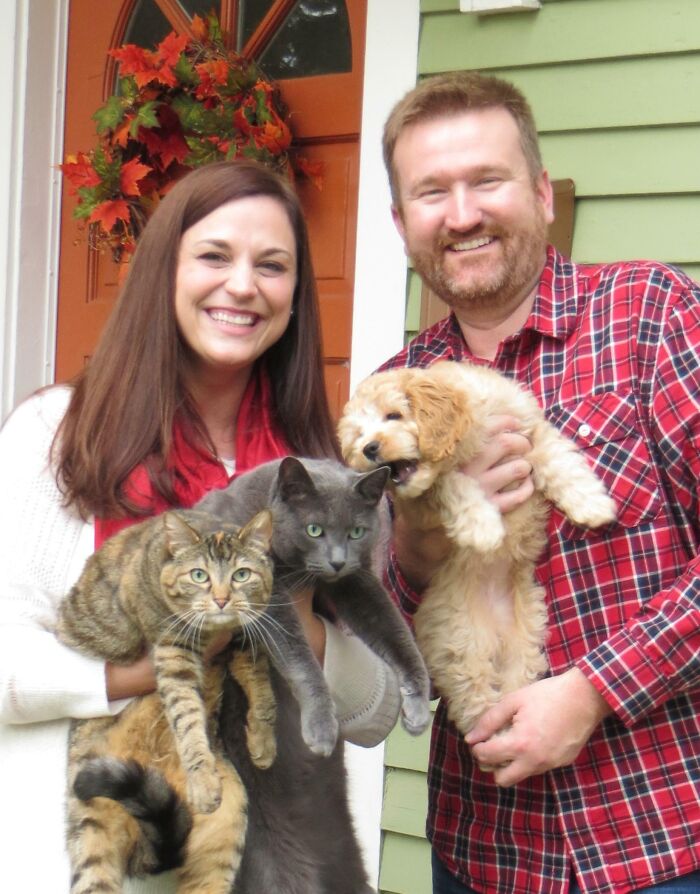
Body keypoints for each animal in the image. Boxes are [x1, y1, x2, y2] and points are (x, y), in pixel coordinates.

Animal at [54, 512, 276, 894]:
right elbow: (186, 716)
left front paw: (262, 740)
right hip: (91, 830)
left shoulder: (243, 633)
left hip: (222, 845)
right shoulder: (173, 649)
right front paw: (202, 780)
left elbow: (259, 679)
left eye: (241, 575)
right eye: (199, 575)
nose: (221, 599)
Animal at [336, 360, 616, 740]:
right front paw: (483, 526)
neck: (467, 440)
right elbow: (453, 482)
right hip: (462, 648)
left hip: (524, 643)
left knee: (515, 686)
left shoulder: (528, 428)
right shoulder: (425, 501)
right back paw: (499, 739)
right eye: (357, 436)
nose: (369, 449)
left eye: (393, 415)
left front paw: (592, 504)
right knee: (478, 707)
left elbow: (559, 460)